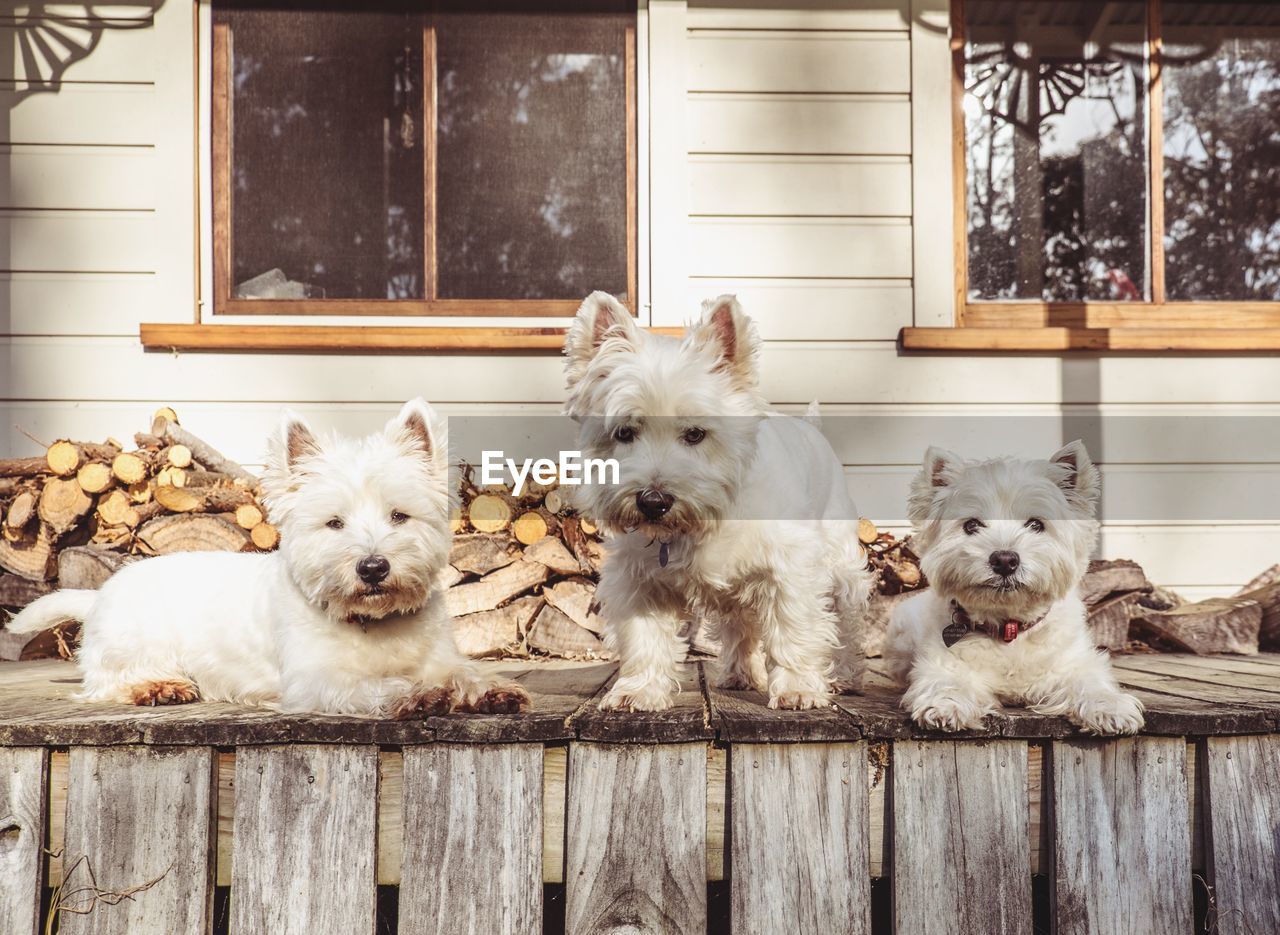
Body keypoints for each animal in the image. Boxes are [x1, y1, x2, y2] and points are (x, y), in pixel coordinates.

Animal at [7, 399, 527, 712]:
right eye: (334, 523)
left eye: (399, 515)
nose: (373, 567)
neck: (372, 622)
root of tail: (97, 595)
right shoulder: (316, 681)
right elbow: (381, 685)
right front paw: (424, 695)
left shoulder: (439, 653)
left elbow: (460, 670)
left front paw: (488, 690)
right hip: (133, 643)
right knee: (106, 682)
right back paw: (159, 686)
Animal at [565, 292, 875, 707]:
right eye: (625, 432)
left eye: (696, 433)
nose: (653, 502)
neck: (708, 521)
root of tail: (812, 428)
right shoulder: (638, 578)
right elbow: (644, 637)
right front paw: (639, 691)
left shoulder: (791, 568)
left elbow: (793, 629)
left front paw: (797, 689)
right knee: (741, 627)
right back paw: (741, 675)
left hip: (840, 561)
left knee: (848, 621)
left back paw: (846, 676)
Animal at [885, 438, 1146, 737]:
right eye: (971, 525)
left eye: (1036, 524)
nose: (1004, 560)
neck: (1009, 629)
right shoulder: (941, 662)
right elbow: (946, 682)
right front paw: (945, 707)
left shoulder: (1073, 663)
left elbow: (1090, 682)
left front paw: (1110, 709)